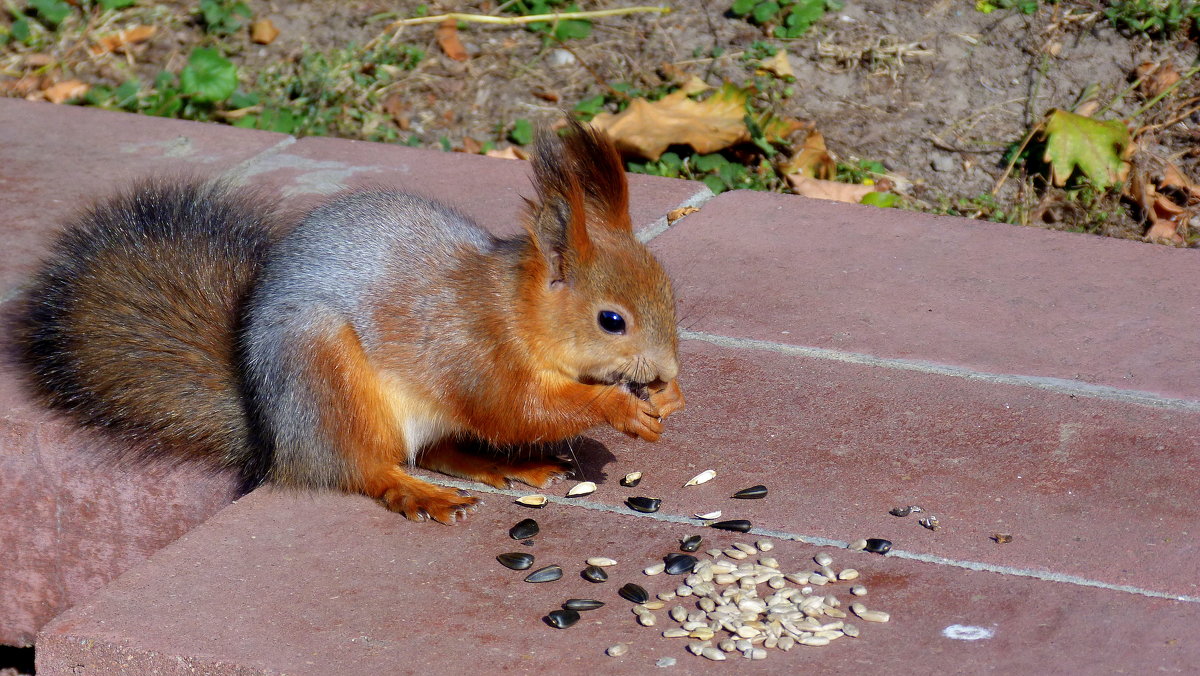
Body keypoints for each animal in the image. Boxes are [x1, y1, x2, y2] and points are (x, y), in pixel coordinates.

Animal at [14, 120, 686, 523]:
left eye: (667, 289)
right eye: (611, 320)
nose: (665, 370)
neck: (513, 309)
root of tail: (278, 438)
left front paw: (667, 397)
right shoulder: (472, 350)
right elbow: (516, 409)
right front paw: (619, 407)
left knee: (437, 448)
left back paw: (503, 466)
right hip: (327, 372)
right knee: (363, 467)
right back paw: (417, 491)